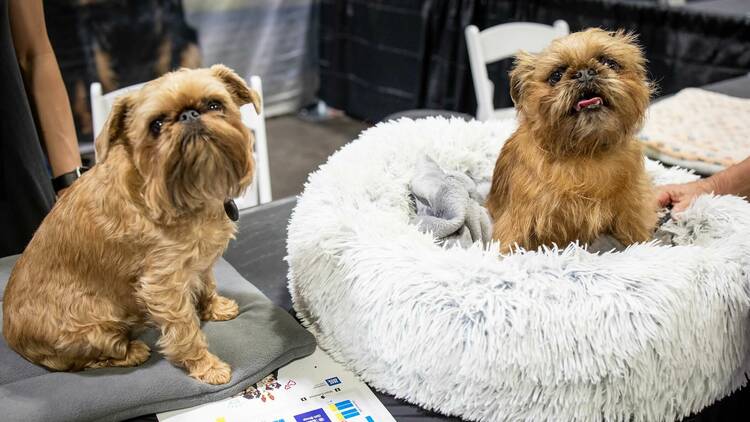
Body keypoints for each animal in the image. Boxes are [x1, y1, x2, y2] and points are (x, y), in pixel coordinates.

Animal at [2, 64, 258, 384]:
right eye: (156, 125)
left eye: (214, 105)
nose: (189, 115)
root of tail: (13, 340)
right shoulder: (163, 284)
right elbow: (185, 329)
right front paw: (206, 366)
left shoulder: (199, 261)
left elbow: (207, 282)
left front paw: (215, 307)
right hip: (93, 328)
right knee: (84, 361)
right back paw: (131, 351)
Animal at [488, 30, 656, 254]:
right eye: (556, 76)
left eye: (609, 62)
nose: (584, 72)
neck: (585, 152)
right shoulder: (518, 220)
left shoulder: (631, 215)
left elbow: (638, 239)